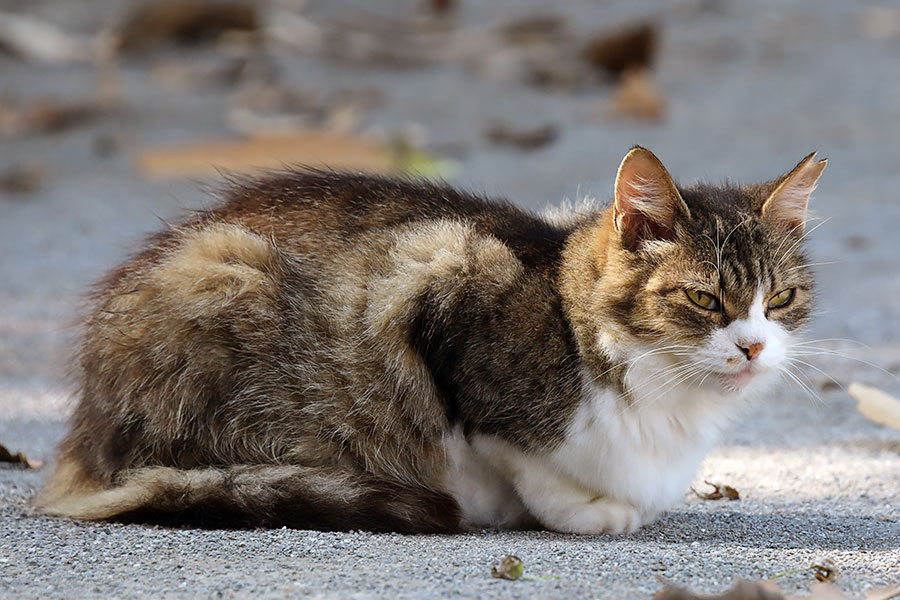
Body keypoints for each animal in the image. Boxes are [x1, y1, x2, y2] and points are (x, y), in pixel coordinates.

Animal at [35, 148, 828, 532]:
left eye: (779, 299)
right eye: (704, 299)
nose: (753, 347)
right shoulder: (438, 280)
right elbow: (514, 450)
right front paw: (581, 509)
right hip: (227, 271)